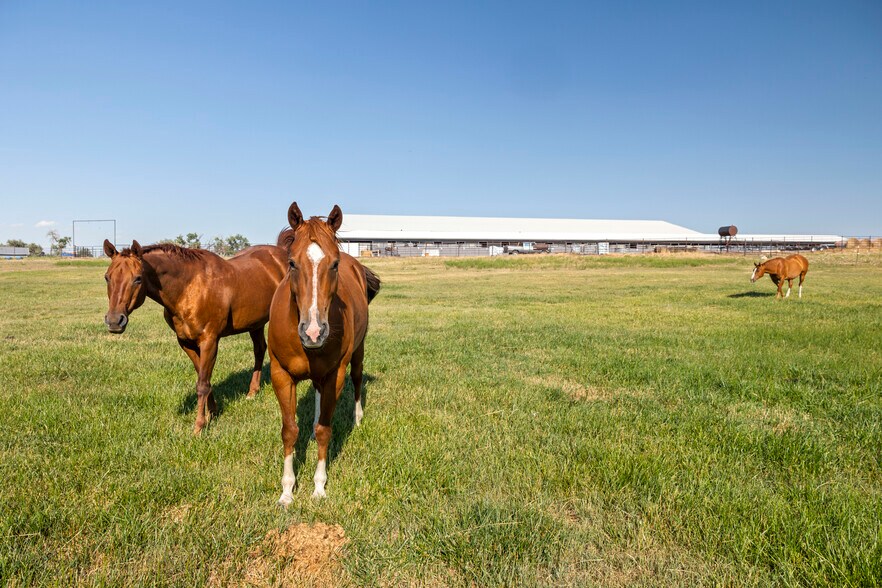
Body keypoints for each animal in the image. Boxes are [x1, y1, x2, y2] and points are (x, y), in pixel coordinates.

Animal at [102, 239, 288, 434]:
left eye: (138, 278)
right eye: (107, 277)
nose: (114, 321)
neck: (189, 288)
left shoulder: (209, 341)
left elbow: (202, 384)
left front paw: (199, 426)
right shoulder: (186, 343)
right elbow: (204, 378)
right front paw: (212, 412)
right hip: (255, 323)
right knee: (259, 350)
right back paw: (252, 392)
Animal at [268, 202, 380, 504]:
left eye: (335, 263)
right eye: (292, 263)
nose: (314, 331)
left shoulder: (334, 375)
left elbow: (324, 430)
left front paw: (319, 486)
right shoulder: (280, 374)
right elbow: (289, 431)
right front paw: (286, 491)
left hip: (358, 352)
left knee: (357, 379)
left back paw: (358, 418)